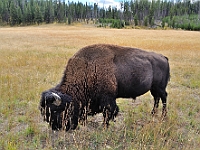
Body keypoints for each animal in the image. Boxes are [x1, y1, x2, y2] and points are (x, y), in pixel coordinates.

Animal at [39, 44, 170, 131]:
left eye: (55, 110)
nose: (55, 127)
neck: (87, 70)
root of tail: (163, 57)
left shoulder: (107, 99)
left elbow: (108, 112)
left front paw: (105, 126)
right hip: (153, 89)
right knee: (156, 99)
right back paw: (153, 113)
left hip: (160, 88)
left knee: (163, 98)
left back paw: (163, 116)